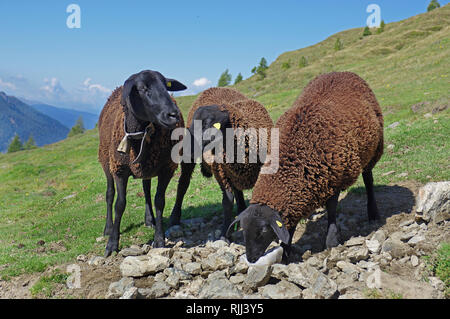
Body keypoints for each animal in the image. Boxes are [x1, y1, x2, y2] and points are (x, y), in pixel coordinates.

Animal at [97, 70, 187, 258]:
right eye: (142, 89)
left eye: (166, 86)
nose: (173, 114)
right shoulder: (119, 169)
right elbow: (119, 204)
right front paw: (112, 244)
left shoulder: (167, 167)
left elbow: (159, 201)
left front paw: (159, 239)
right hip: (106, 161)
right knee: (109, 194)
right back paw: (108, 228)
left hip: (147, 167)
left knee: (146, 190)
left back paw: (149, 219)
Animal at [170, 87, 272, 238]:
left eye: (207, 123)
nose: (185, 146)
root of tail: (214, 88)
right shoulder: (221, 173)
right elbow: (227, 201)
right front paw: (225, 234)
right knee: (183, 185)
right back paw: (174, 218)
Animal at [229, 73, 384, 264]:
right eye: (243, 229)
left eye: (263, 230)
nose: (250, 259)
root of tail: (341, 72)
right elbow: (290, 225)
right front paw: (285, 252)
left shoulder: (334, 178)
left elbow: (332, 209)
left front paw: (331, 241)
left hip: (374, 149)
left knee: (369, 180)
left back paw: (373, 213)